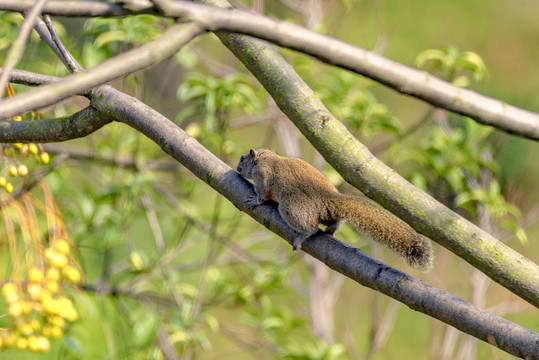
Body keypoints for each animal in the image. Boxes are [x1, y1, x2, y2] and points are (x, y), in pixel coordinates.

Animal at [236, 148, 434, 270]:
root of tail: (328, 198)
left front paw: (254, 201)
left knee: (311, 228)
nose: (237, 168)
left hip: (291, 208)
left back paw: (302, 236)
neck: (266, 157)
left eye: (242, 158)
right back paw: (331, 230)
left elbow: (263, 194)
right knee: (334, 222)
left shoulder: (263, 177)